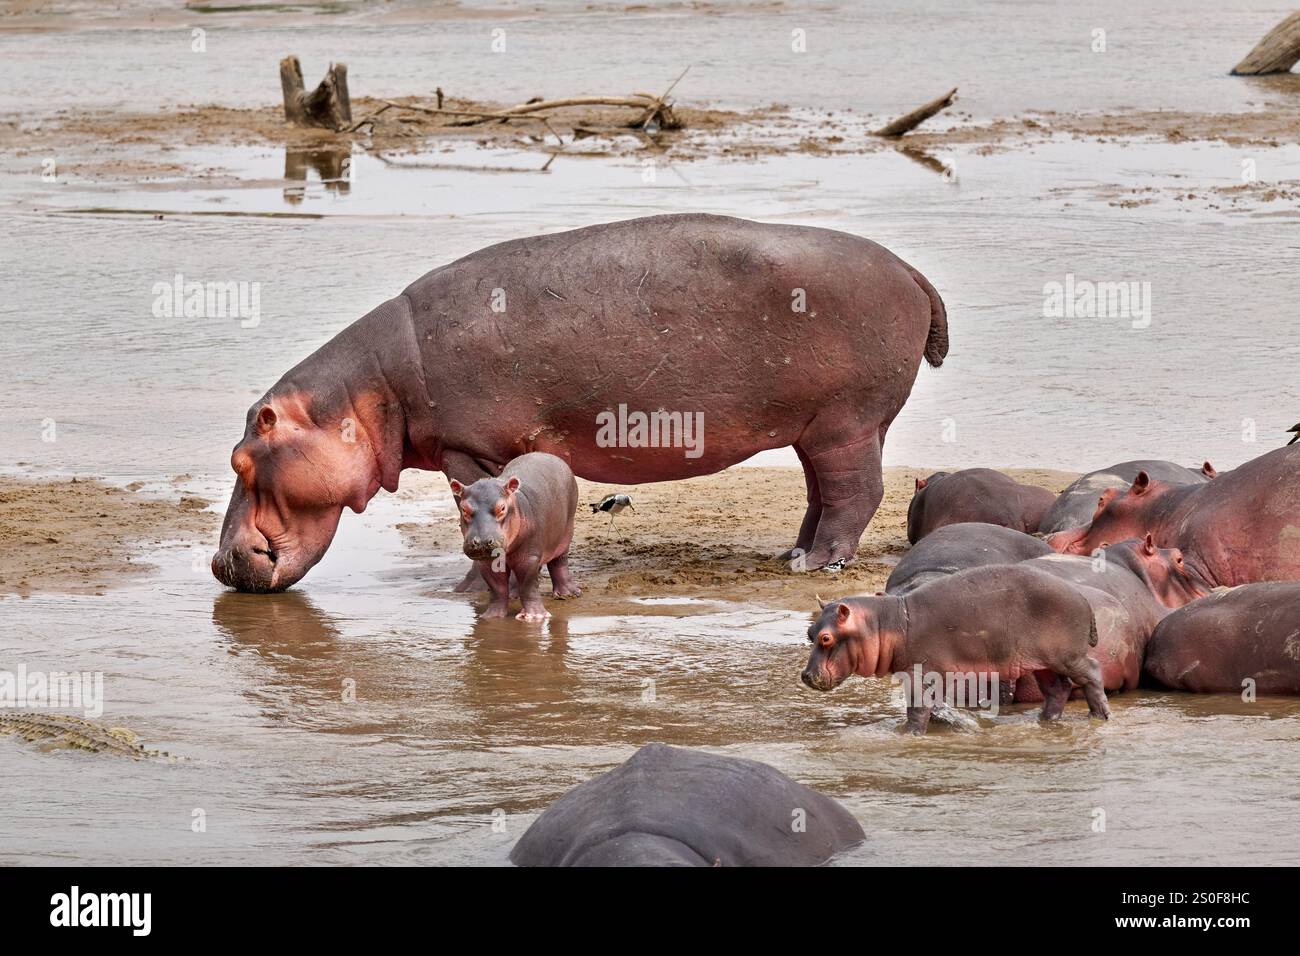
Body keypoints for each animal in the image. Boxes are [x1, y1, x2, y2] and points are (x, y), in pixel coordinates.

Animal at [212, 213, 948, 592]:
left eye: (243, 459)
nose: (219, 564)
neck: (368, 393)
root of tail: (913, 270)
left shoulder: (470, 448)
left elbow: (478, 514)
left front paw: (465, 589)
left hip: (845, 423)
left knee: (854, 493)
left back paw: (816, 563)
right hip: (821, 426)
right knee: (824, 492)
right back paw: (791, 554)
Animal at [450, 452, 579, 621]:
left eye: (502, 508)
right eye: (464, 509)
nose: (482, 542)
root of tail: (550, 455)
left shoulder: (528, 557)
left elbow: (528, 586)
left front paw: (534, 617)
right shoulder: (488, 561)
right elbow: (497, 588)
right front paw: (492, 617)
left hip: (564, 535)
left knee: (559, 562)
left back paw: (567, 594)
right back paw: (513, 595)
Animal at [801, 564, 1108, 733]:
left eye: (826, 638)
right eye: (810, 633)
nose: (805, 676)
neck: (887, 623)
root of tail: (1082, 597)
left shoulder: (920, 675)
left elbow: (917, 708)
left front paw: (909, 734)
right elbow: (932, 706)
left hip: (1067, 656)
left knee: (1092, 674)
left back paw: (1100, 717)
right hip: (1040, 662)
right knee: (1058, 689)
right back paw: (1046, 721)